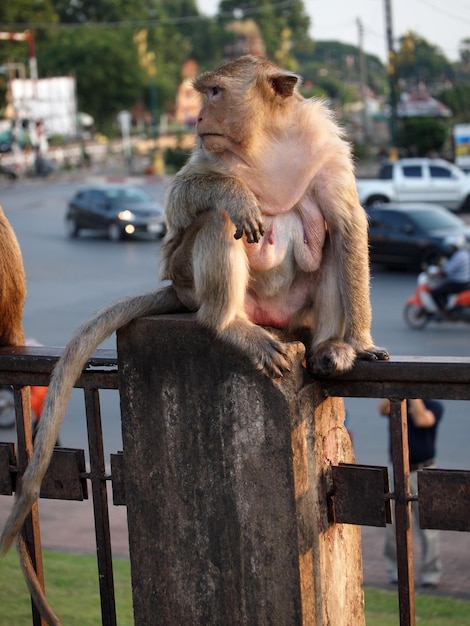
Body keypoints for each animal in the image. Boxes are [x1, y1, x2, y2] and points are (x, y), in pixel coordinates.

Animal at [0, 57, 390, 620]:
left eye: (215, 92)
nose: (198, 117)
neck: (263, 141)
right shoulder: (207, 159)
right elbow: (185, 200)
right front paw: (233, 193)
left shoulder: (325, 146)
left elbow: (348, 224)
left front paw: (358, 343)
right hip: (189, 279)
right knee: (216, 223)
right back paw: (229, 325)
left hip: (296, 313)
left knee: (324, 231)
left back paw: (329, 347)